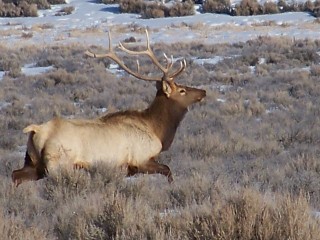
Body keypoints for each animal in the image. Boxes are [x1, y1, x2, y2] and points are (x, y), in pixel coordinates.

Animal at [11, 30, 206, 188]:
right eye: (182, 90)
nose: (203, 92)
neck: (157, 129)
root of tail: (36, 130)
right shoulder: (140, 159)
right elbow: (168, 170)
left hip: (33, 162)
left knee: (15, 175)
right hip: (57, 164)